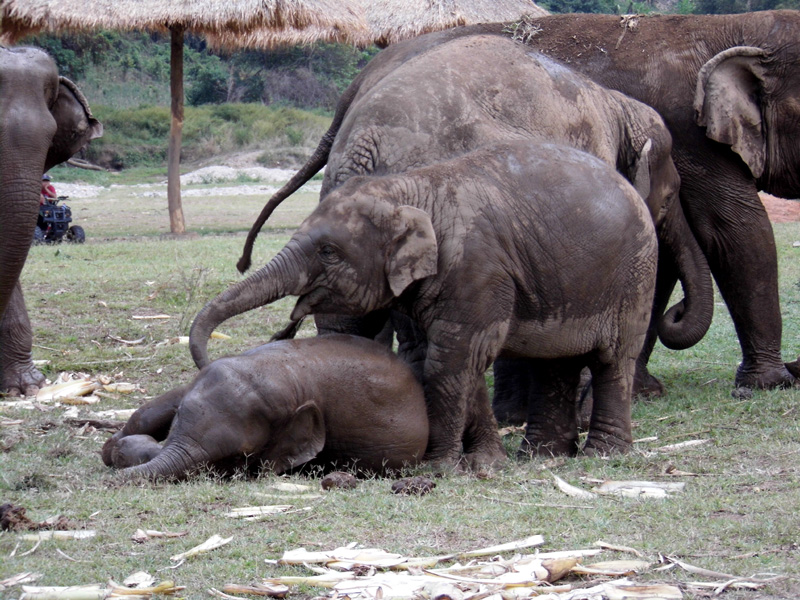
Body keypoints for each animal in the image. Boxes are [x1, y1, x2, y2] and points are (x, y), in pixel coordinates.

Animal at [190, 141, 658, 462]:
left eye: (328, 251)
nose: (208, 360)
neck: (413, 187)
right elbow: (455, 356)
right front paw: (485, 464)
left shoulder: (478, 267)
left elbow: (453, 356)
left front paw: (439, 468)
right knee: (554, 363)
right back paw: (541, 456)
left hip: (635, 276)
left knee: (613, 358)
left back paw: (603, 454)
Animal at [241, 10, 800, 393]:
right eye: (671, 192)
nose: (679, 315)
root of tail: (357, 121)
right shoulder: (682, 134)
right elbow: (728, 228)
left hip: (348, 192)